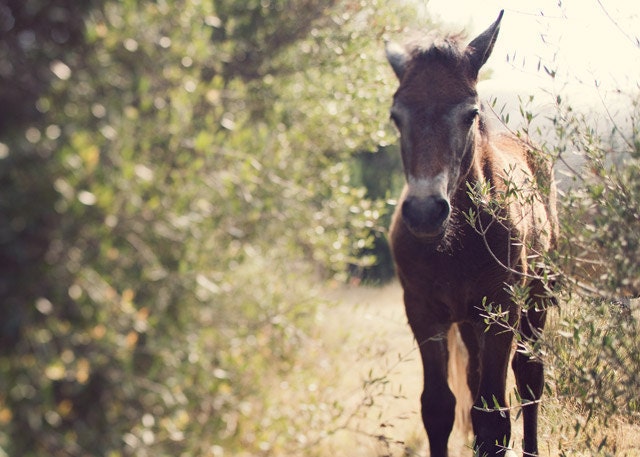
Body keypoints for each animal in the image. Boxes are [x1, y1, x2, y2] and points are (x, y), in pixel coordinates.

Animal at [385, 11, 558, 457]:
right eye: (397, 116)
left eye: (469, 113)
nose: (425, 212)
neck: (456, 244)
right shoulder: (424, 313)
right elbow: (438, 408)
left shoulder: (501, 310)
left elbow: (493, 417)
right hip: (469, 321)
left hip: (535, 300)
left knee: (529, 378)